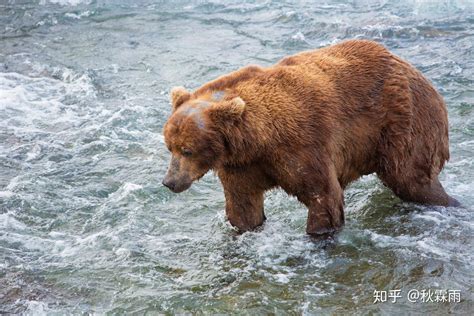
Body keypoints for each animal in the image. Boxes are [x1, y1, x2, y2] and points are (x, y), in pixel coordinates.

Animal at [161, 39, 458, 236]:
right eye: (169, 147)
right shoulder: (241, 166)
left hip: (403, 122)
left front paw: (318, 236)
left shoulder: (301, 145)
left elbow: (323, 196)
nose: (169, 182)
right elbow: (243, 206)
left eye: (187, 149)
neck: (258, 139)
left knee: (412, 179)